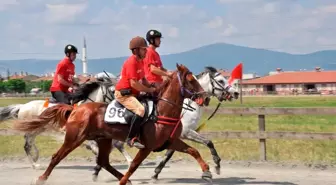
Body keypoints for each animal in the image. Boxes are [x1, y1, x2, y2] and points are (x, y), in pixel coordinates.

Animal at [13, 64, 213, 185]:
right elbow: (133, 165)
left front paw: (207, 172)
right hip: (74, 138)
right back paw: (41, 177)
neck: (162, 112)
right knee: (56, 156)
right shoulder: (147, 146)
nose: (205, 97)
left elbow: (194, 151)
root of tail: (76, 109)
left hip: (103, 139)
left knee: (103, 161)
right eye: (190, 80)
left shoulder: (171, 141)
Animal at [90, 66, 240, 181]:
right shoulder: (186, 132)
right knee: (114, 145)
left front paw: (156, 172)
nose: (236, 93)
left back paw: (98, 168)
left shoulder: (176, 136)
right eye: (221, 80)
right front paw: (217, 164)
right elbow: (206, 142)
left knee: (112, 146)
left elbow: (174, 152)